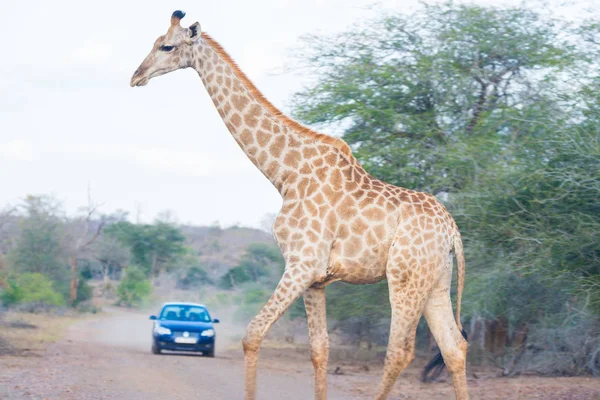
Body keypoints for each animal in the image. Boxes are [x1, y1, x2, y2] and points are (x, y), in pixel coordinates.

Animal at [130, 10, 468, 398]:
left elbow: (252, 334)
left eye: (167, 46)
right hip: (436, 281)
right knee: (454, 347)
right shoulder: (317, 278)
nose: (136, 76)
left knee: (400, 350)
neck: (285, 174)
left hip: (405, 277)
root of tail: (453, 231)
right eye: (155, 42)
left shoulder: (301, 264)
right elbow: (319, 350)